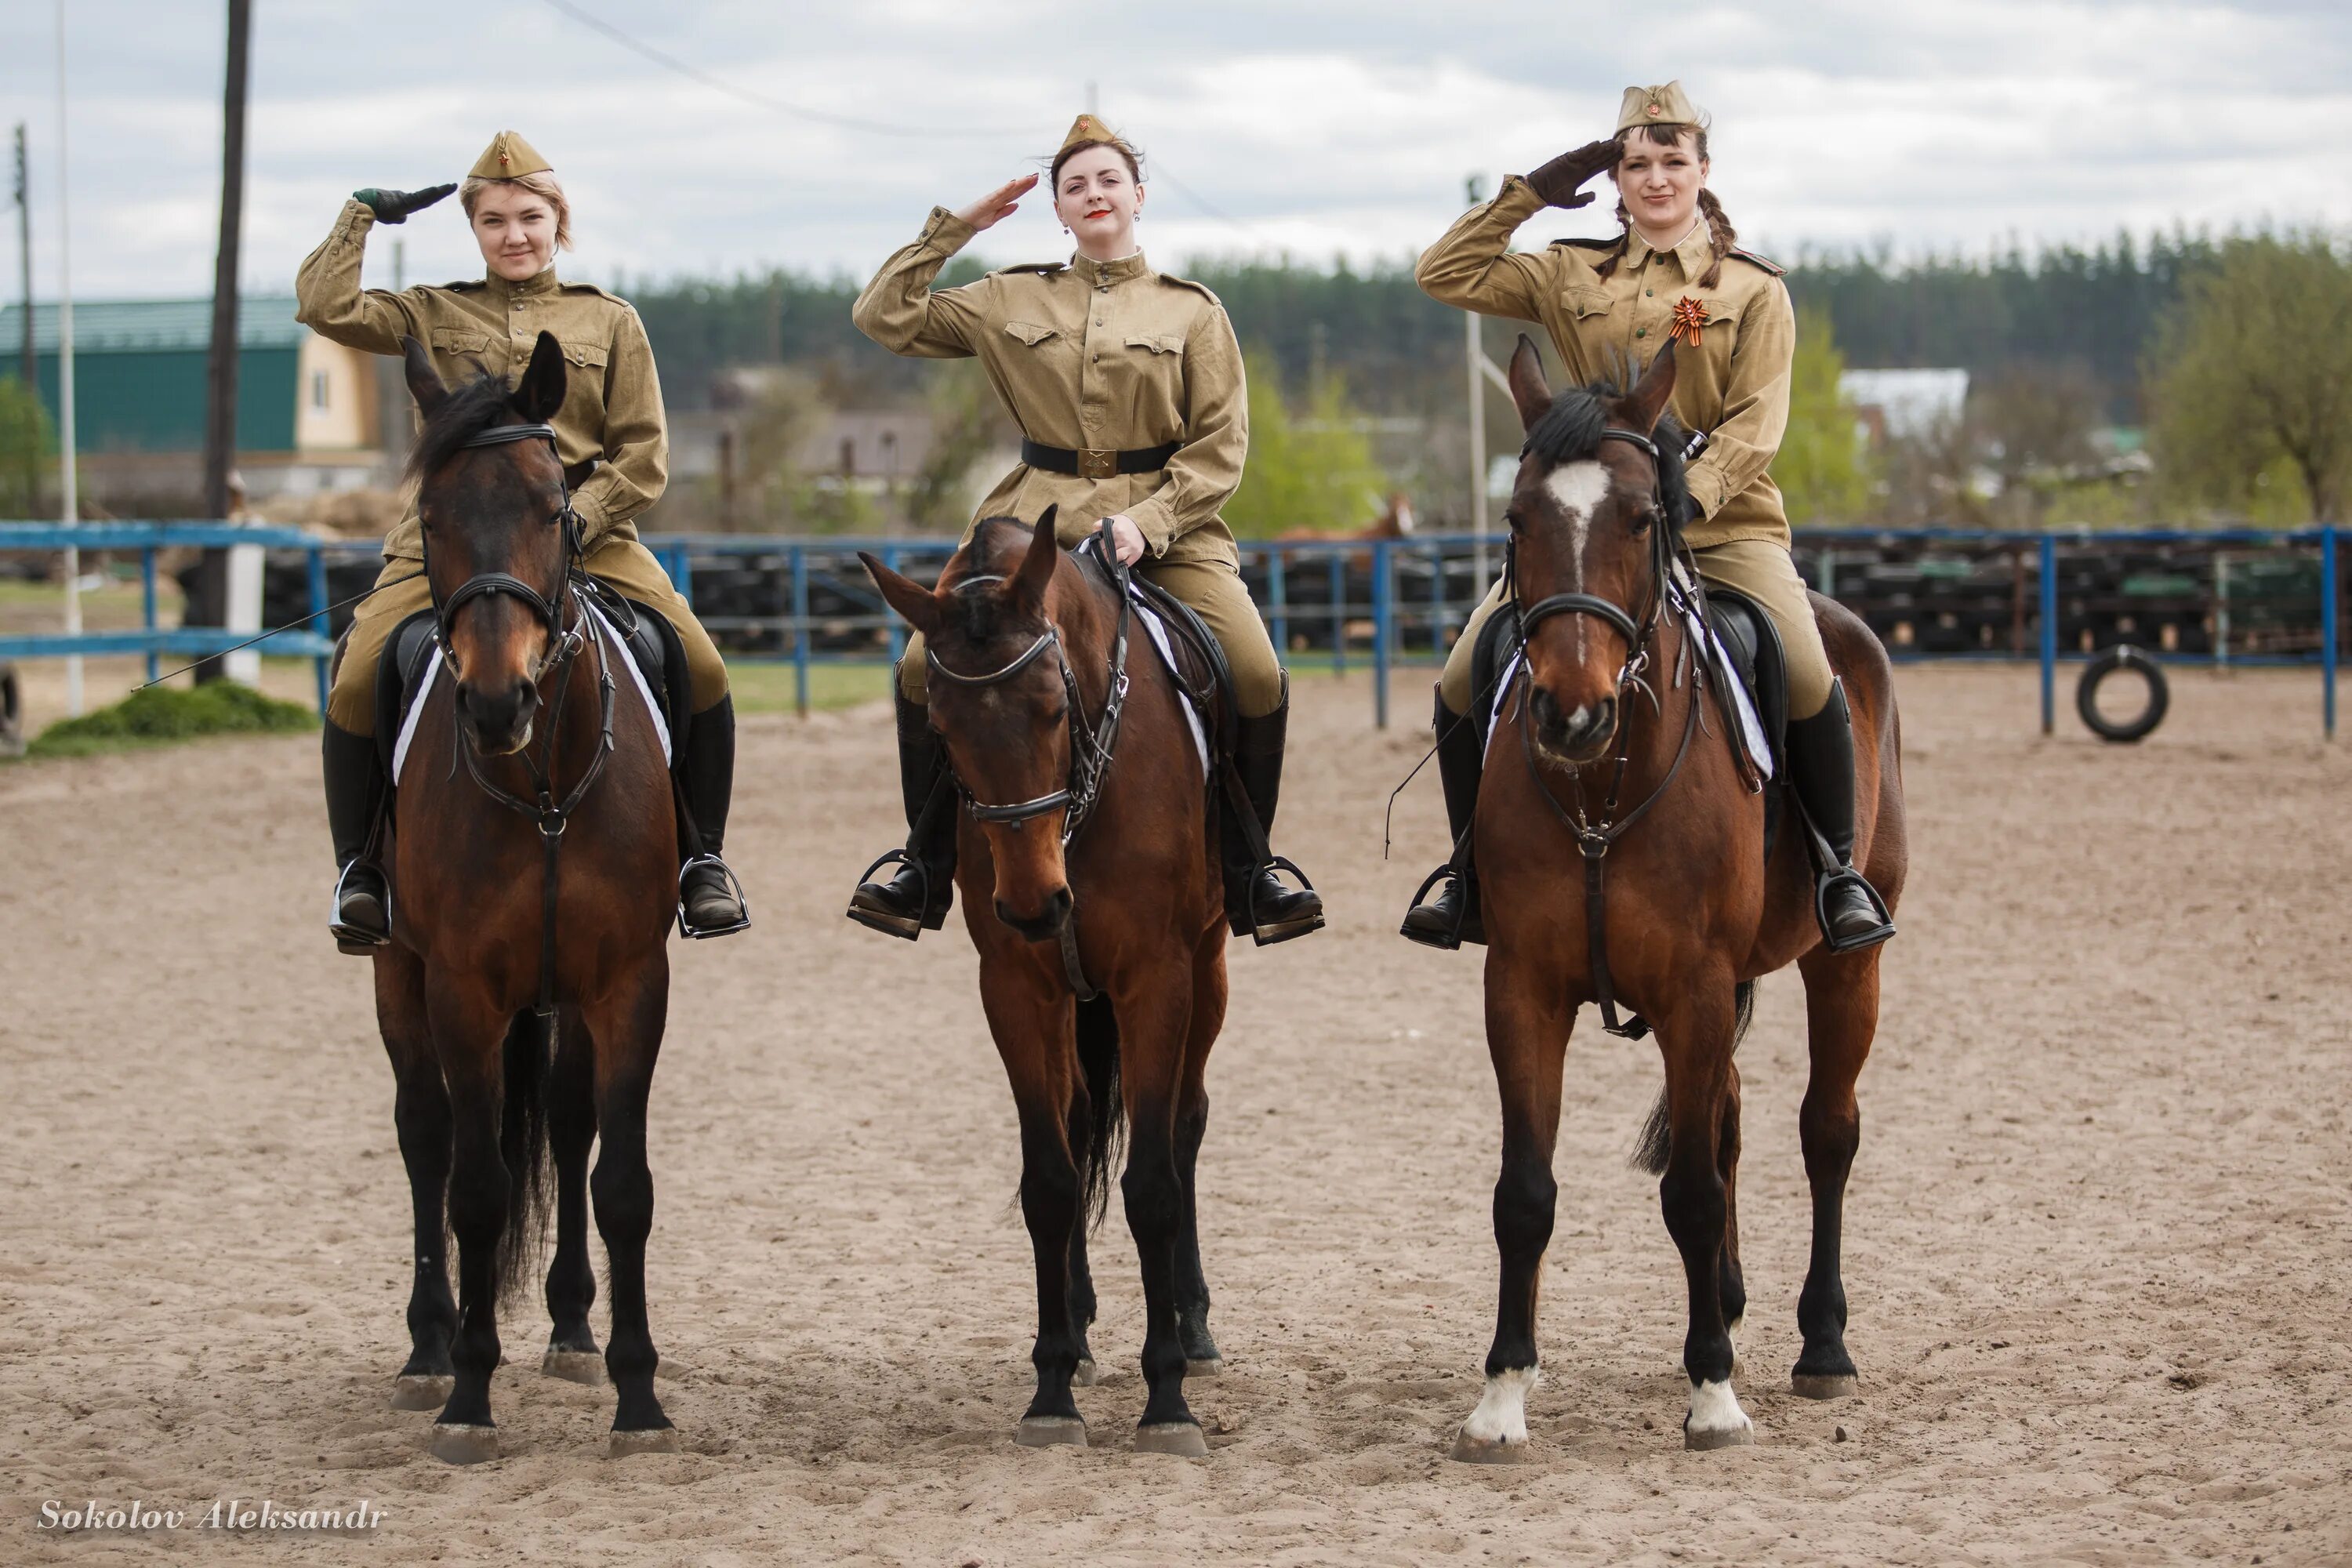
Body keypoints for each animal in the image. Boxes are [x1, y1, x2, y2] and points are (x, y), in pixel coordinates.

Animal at [362, 333, 682, 1476]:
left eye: (556, 507)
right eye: (434, 517)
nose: (499, 700)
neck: (541, 783)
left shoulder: (629, 984)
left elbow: (621, 1183)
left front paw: (638, 1397)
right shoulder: (462, 992)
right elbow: (477, 1188)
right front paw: (468, 1394)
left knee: (572, 1126)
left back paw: (574, 1332)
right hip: (399, 974)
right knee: (424, 1136)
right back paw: (426, 1351)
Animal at [866, 514, 1232, 1457]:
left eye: (1054, 710)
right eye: (941, 728)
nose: (1035, 903)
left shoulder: (1156, 980)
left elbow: (1153, 1184)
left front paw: (1167, 1397)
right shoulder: (1017, 988)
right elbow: (1050, 1180)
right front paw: (1053, 1385)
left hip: (1209, 967)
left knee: (1186, 1126)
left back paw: (1194, 1326)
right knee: (1075, 1122)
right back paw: (1083, 1329)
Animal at [1449, 340, 1910, 1457]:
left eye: (1640, 518)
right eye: (1516, 519)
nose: (1570, 712)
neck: (1603, 785)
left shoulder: (1695, 987)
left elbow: (1694, 1192)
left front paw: (1713, 1394)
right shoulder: (1520, 988)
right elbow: (1525, 1191)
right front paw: (1503, 1394)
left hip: (1847, 964)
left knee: (1825, 1130)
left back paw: (1819, 1344)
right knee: (1733, 1116)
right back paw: (1731, 1309)